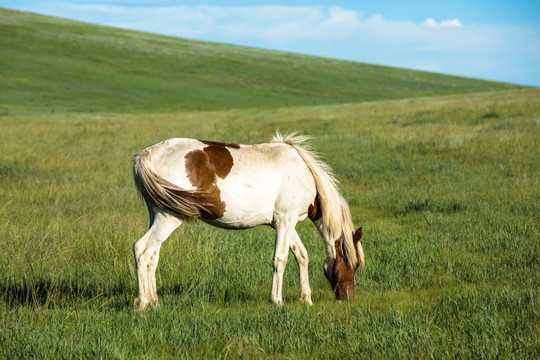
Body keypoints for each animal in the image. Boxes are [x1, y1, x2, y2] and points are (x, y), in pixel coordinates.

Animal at [133, 132, 364, 310]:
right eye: (354, 265)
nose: (348, 299)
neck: (304, 172)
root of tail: (145, 155)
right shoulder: (285, 221)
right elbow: (280, 260)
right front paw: (277, 301)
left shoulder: (286, 223)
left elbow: (301, 256)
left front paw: (305, 298)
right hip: (169, 218)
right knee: (142, 250)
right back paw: (143, 302)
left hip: (158, 216)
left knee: (152, 256)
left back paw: (154, 301)